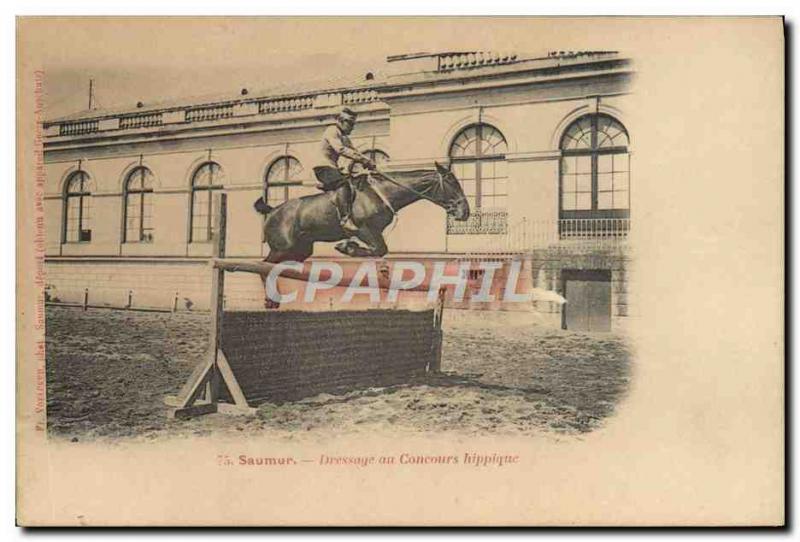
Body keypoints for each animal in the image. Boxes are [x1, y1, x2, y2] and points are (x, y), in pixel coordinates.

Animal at [255, 160, 468, 264]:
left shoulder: (375, 233)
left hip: (298, 251)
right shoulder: (364, 230)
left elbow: (380, 250)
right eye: (451, 182)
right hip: (281, 249)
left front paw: (348, 247)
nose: (465, 211)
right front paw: (347, 247)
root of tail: (272, 211)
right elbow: (379, 249)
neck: (383, 193)